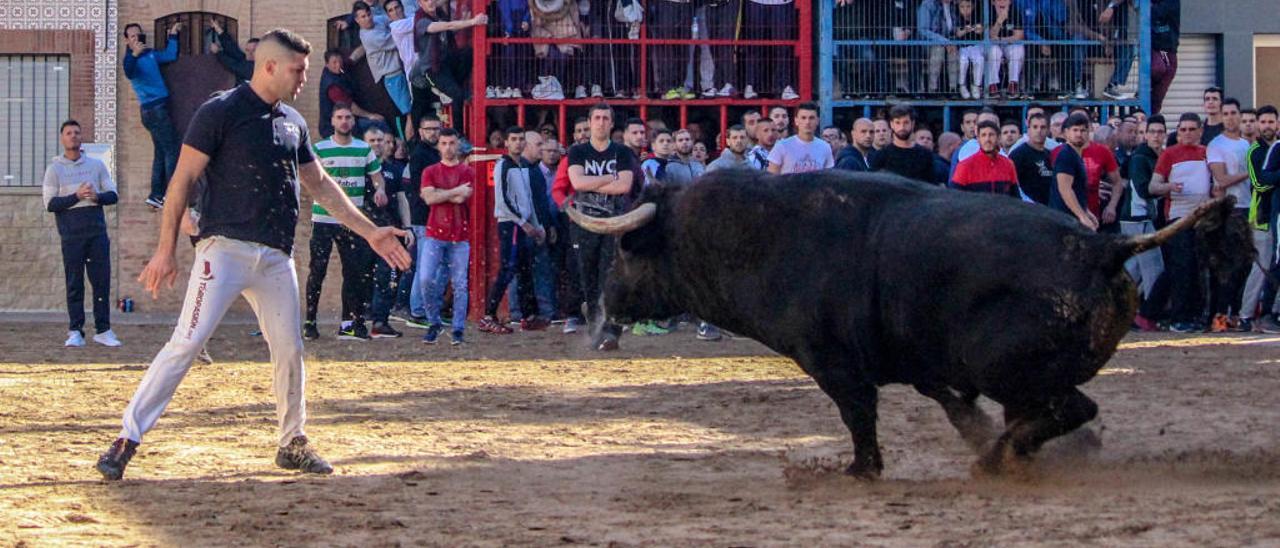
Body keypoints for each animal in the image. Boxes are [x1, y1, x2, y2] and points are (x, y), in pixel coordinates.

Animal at [570, 169, 1249, 476]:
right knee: (1049, 413)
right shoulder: (917, 363)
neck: (766, 236)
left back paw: (997, 458)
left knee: (1069, 409)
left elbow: (859, 417)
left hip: (1009, 369)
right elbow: (947, 401)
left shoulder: (835, 365)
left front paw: (861, 469)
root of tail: (1103, 247)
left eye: (626, 250)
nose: (601, 307)